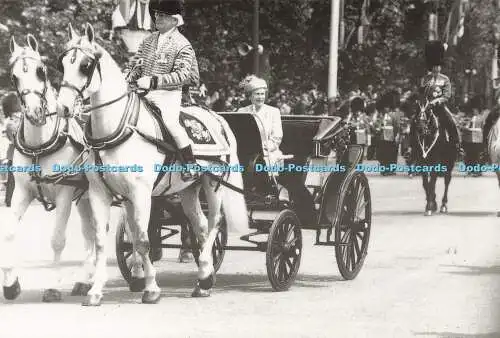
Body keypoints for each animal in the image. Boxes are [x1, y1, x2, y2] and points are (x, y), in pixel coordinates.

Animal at [1, 35, 96, 304]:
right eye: (14, 76)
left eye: (41, 71)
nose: (35, 112)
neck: (39, 146)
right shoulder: (22, 192)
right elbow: (9, 234)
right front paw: (11, 284)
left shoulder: (64, 194)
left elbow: (57, 240)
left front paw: (53, 287)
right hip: (85, 198)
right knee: (90, 235)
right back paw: (84, 281)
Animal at [56, 22, 248, 304]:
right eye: (62, 64)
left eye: (85, 65)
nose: (63, 108)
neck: (118, 129)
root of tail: (216, 117)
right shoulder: (101, 193)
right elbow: (104, 241)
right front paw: (95, 291)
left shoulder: (141, 193)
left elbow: (144, 240)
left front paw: (151, 288)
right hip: (188, 190)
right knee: (200, 226)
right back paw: (204, 278)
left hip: (213, 185)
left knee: (214, 224)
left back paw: (204, 276)